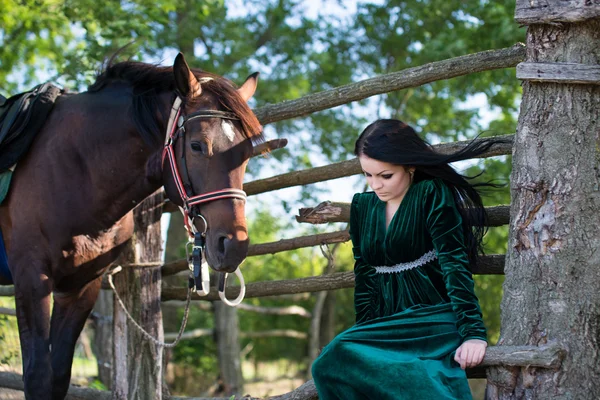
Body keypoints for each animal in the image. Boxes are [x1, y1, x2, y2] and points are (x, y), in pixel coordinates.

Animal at [0, 54, 262, 400]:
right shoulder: (31, 280)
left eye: (246, 153)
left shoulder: (80, 287)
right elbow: (38, 377)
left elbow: (58, 376)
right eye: (196, 146)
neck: (72, 167)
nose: (233, 245)